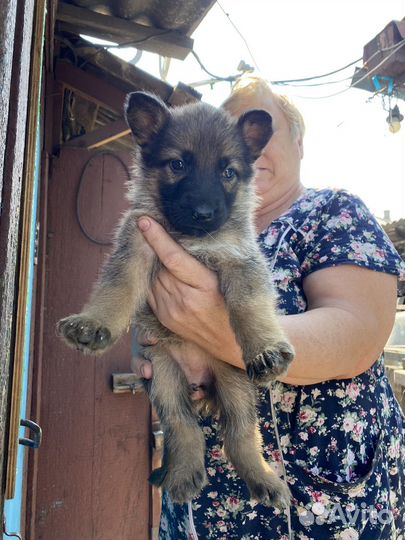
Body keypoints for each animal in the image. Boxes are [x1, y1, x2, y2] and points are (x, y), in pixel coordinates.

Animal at [57, 90, 294, 508]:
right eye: (178, 164)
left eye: (228, 172)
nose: (203, 213)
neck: (189, 239)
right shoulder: (135, 248)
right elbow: (116, 288)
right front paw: (94, 322)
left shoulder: (239, 262)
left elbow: (250, 307)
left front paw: (266, 348)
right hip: (164, 376)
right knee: (184, 426)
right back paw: (184, 474)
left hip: (234, 383)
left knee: (241, 434)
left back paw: (264, 478)